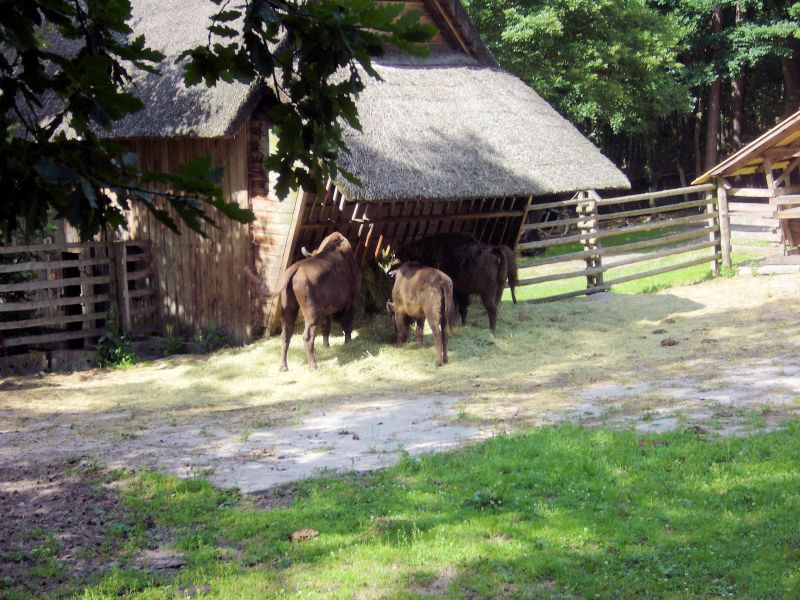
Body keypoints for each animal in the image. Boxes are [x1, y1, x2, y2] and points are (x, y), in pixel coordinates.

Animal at [242, 231, 358, 368]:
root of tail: (295, 268)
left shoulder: (326, 311)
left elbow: (327, 327)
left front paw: (326, 346)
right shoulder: (349, 302)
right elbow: (347, 323)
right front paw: (348, 342)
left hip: (289, 310)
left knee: (285, 335)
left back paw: (284, 367)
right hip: (312, 315)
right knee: (307, 337)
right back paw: (313, 366)